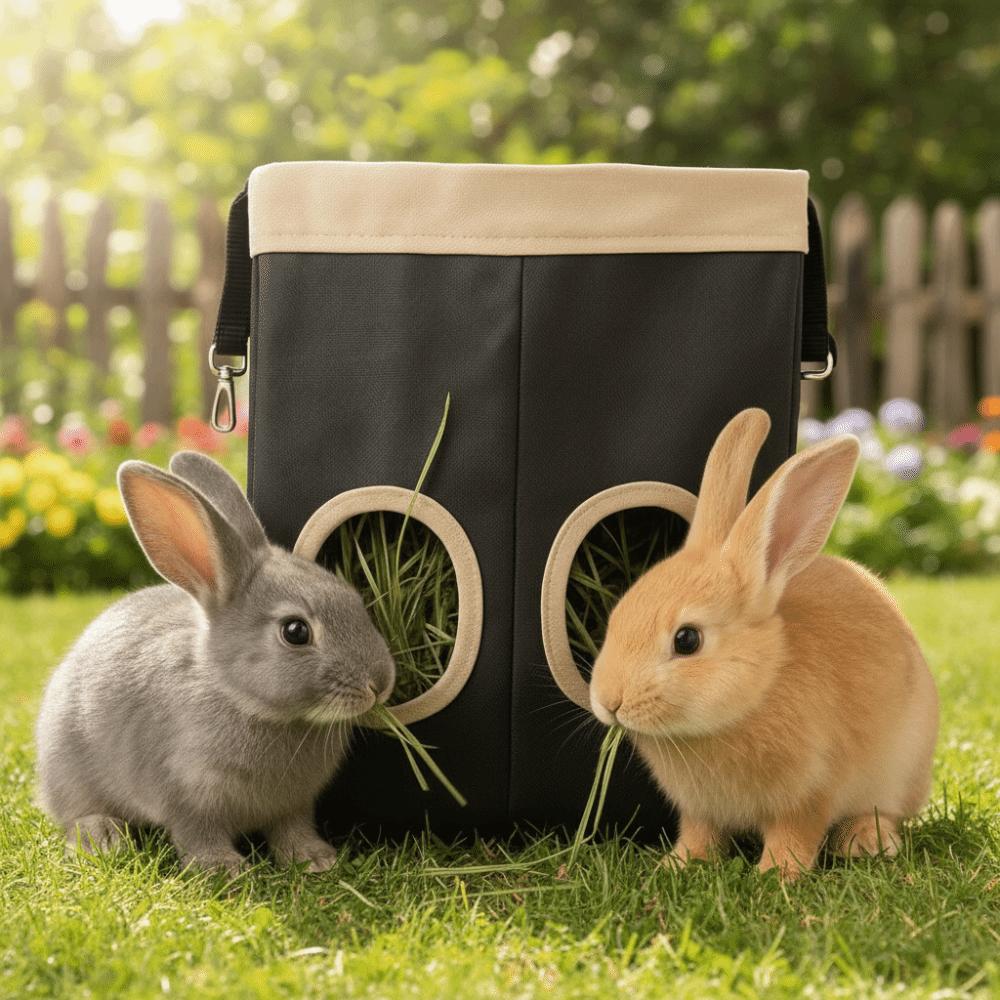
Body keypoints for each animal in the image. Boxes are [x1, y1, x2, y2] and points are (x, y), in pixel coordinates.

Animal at [36, 451, 395, 875]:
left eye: (354, 598)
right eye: (295, 631)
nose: (380, 683)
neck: (241, 697)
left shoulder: (293, 805)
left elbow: (292, 828)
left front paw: (315, 859)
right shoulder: (186, 796)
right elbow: (196, 834)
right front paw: (225, 869)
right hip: (68, 769)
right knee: (77, 814)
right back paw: (104, 839)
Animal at [589, 408, 938, 880]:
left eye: (687, 639)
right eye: (618, 613)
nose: (609, 701)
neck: (756, 693)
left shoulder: (810, 794)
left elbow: (795, 835)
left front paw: (777, 875)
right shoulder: (699, 809)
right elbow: (698, 833)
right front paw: (676, 864)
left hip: (901, 771)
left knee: (884, 812)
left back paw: (865, 843)